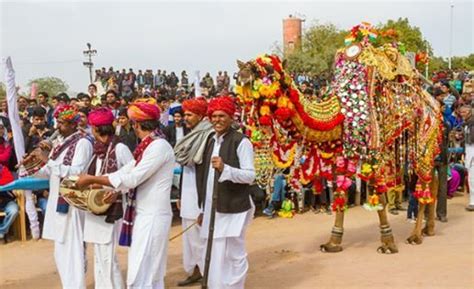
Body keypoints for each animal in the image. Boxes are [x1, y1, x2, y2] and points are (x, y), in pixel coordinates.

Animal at [235, 22, 442, 252]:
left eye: (269, 70)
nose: (241, 74)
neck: (342, 111)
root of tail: (435, 102)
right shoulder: (343, 153)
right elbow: (340, 192)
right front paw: (333, 242)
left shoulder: (373, 150)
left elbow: (378, 194)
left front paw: (388, 243)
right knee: (432, 177)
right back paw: (429, 228)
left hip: (424, 135)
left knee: (424, 178)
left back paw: (416, 235)